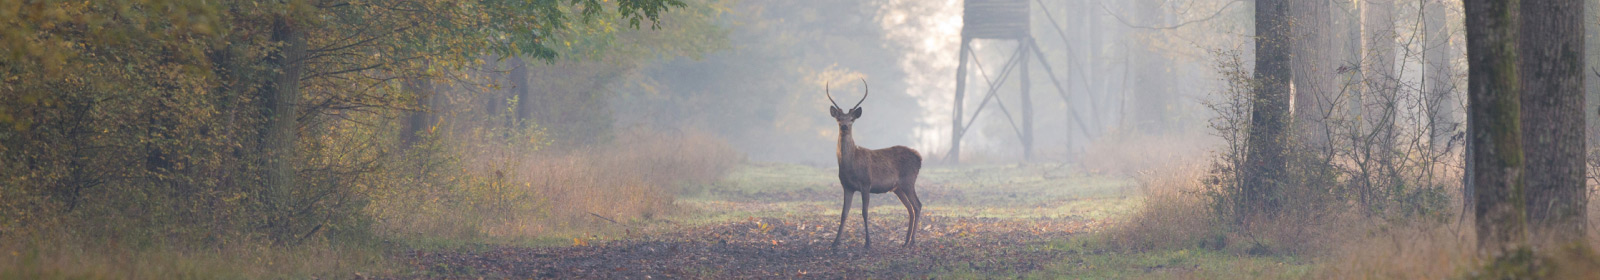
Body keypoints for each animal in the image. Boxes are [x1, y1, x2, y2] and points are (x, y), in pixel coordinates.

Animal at [825, 77, 928, 251]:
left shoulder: (866, 183)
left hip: (908, 180)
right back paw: (905, 240)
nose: (844, 126)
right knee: (910, 207)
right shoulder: (847, 186)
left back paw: (913, 240)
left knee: (918, 205)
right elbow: (844, 213)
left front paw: (867, 242)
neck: (850, 165)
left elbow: (864, 212)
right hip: (897, 187)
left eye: (851, 119)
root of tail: (919, 157)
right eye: (839, 119)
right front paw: (834, 243)